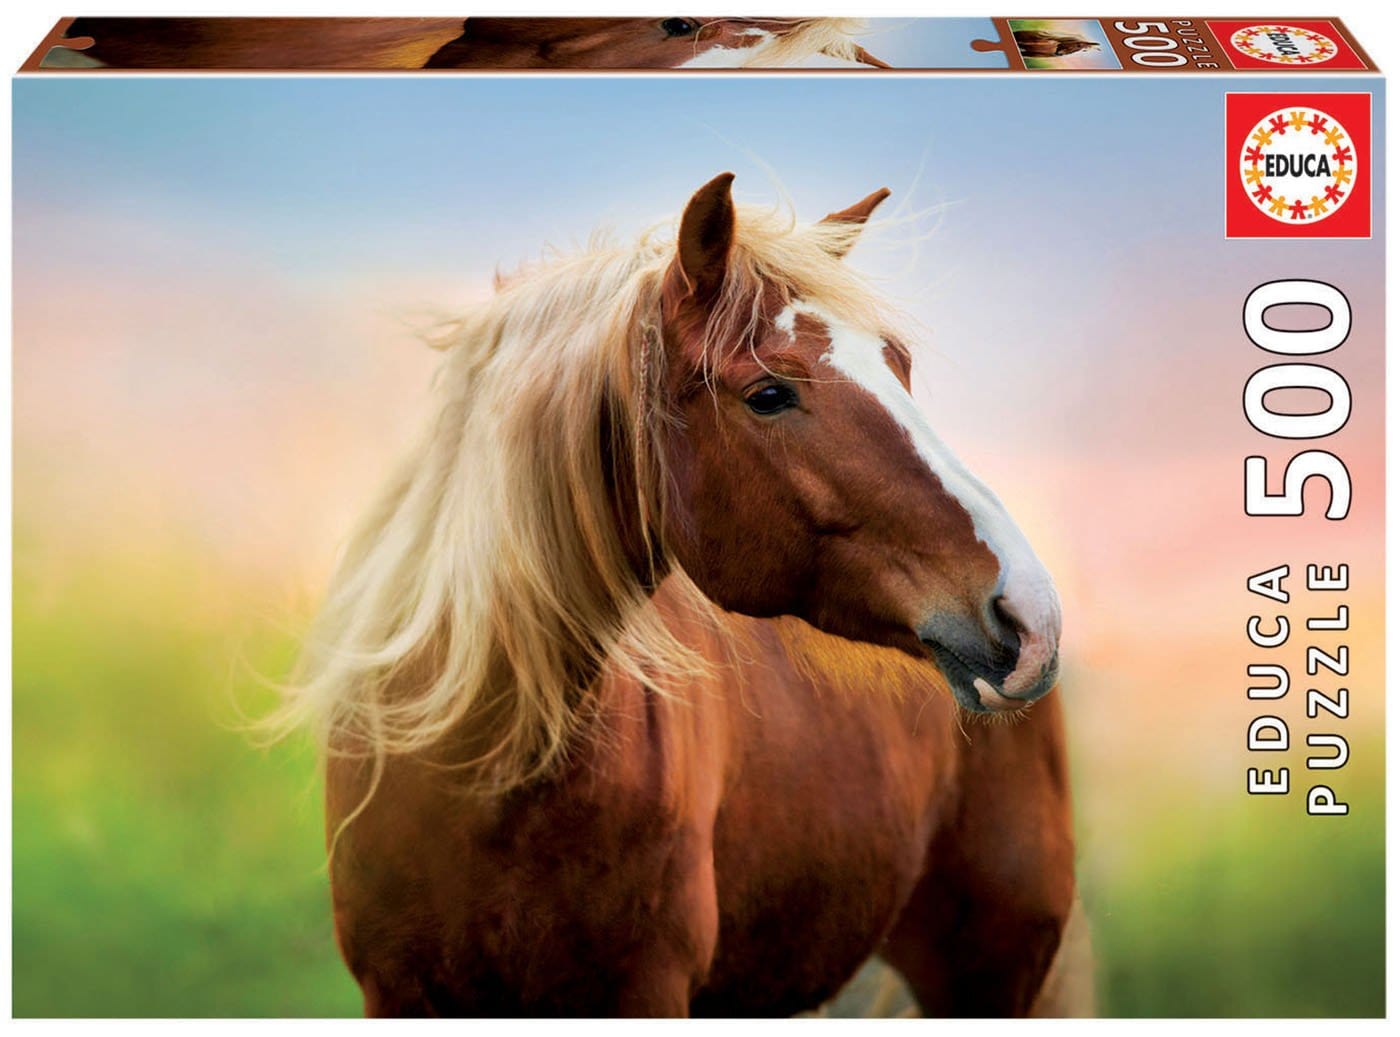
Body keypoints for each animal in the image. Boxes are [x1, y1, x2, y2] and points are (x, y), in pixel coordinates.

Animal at [284, 173, 1079, 1017]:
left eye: (898, 364)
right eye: (768, 393)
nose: (1030, 611)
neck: (483, 774)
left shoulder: (645, 987)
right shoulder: (396, 989)